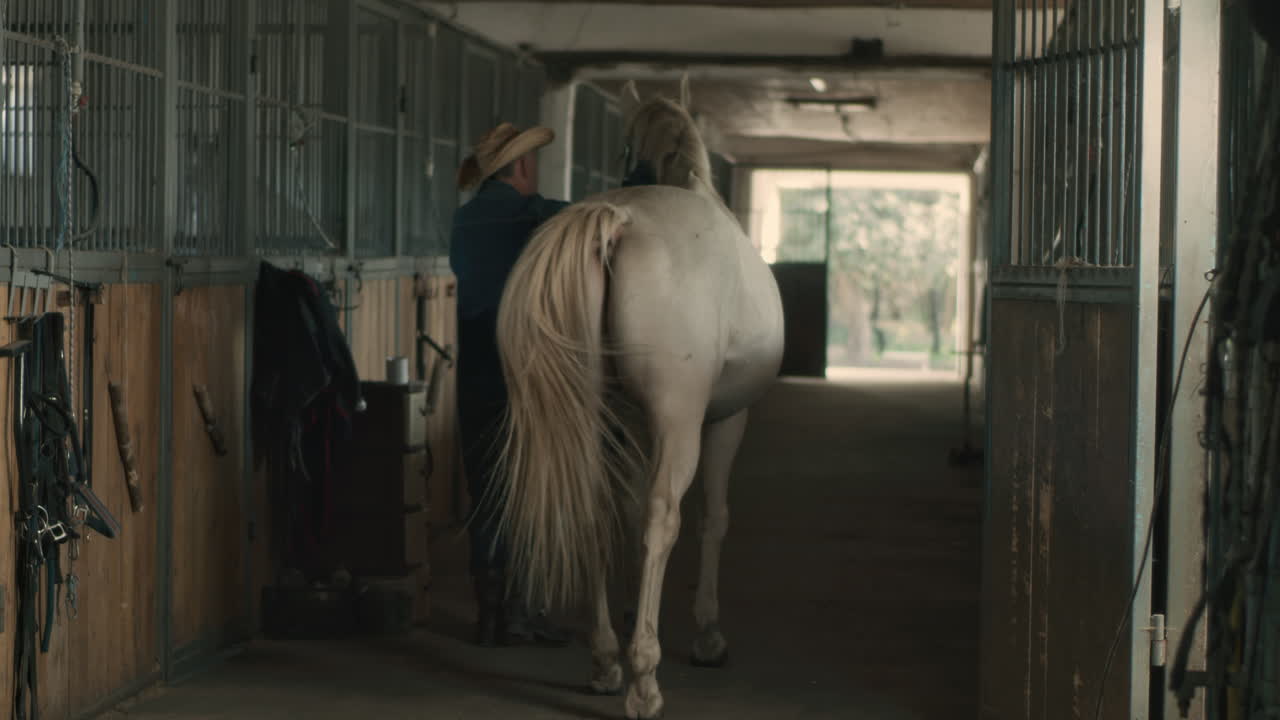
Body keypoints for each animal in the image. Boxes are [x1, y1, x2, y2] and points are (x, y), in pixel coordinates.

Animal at [491, 83, 785, 720]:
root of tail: (617, 221)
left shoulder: (632, 424)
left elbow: (622, 511)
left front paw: (631, 615)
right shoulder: (726, 419)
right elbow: (712, 518)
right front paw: (706, 634)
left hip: (596, 416)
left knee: (594, 509)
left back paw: (606, 659)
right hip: (680, 422)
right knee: (661, 517)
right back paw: (644, 680)